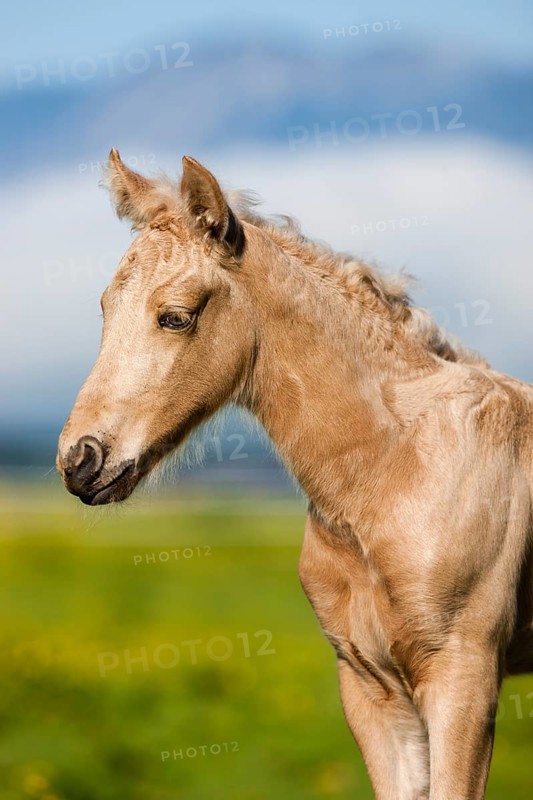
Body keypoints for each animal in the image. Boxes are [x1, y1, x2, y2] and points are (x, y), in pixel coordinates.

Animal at [57, 150, 533, 799]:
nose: (80, 462)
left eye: (175, 318)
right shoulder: (371, 687)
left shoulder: (466, 678)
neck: (393, 470)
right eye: (106, 308)